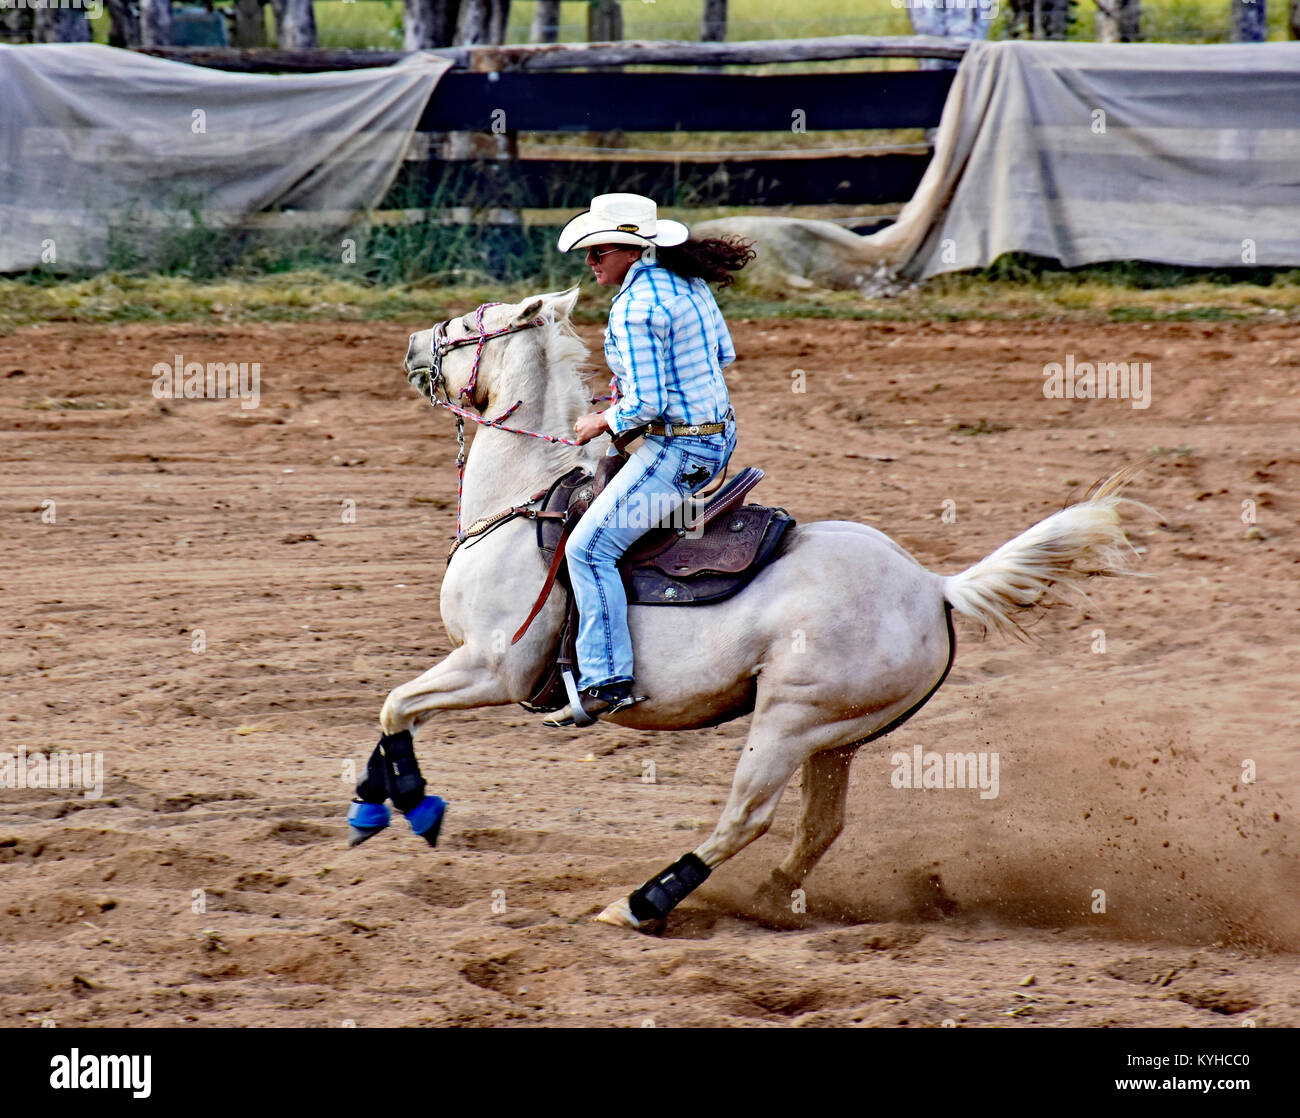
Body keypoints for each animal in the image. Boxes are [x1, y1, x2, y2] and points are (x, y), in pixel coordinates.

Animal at [379, 286, 1144, 925]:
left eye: (472, 324)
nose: (414, 342)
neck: (525, 501)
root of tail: (932, 586)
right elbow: (395, 711)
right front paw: (374, 799)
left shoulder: (493, 668)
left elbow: (396, 706)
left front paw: (411, 802)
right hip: (834, 736)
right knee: (819, 826)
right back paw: (774, 898)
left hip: (786, 723)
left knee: (745, 818)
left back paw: (640, 904)